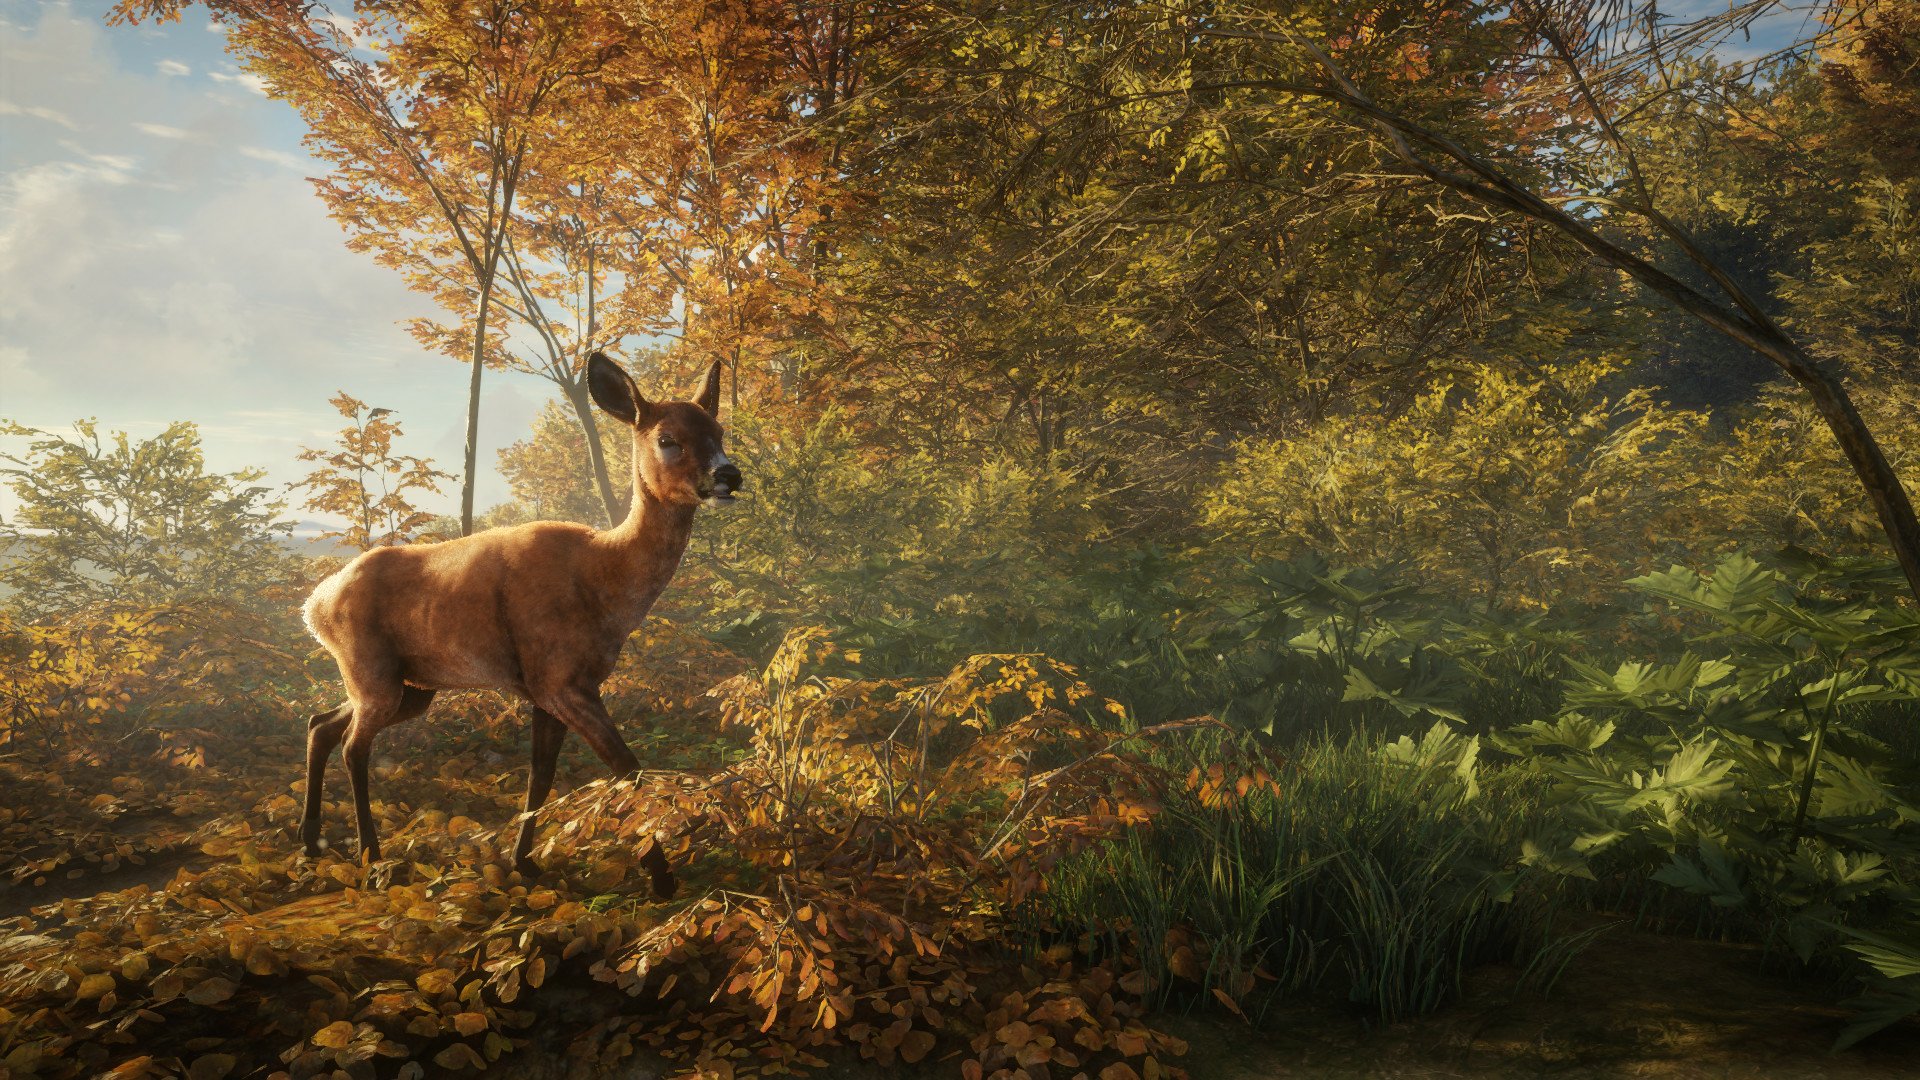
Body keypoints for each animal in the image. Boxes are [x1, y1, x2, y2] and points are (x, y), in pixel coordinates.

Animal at [298, 352, 741, 898]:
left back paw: (311, 841)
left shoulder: (551, 688)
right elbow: (626, 769)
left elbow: (541, 774)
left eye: (719, 430)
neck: (603, 581)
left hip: (410, 685)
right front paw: (661, 878)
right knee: (354, 747)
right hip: (372, 672)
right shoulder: (559, 680)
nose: (729, 475)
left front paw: (524, 863)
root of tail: (315, 605)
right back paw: (370, 857)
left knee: (322, 724)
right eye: (668, 439)